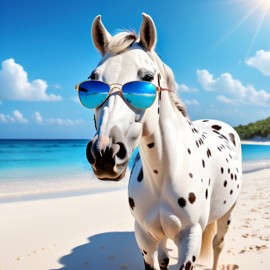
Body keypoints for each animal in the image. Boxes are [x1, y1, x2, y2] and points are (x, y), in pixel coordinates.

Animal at [76, 13, 243, 270]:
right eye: (91, 82)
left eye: (146, 78)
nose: (104, 153)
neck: (164, 173)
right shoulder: (146, 237)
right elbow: (160, 261)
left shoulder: (190, 239)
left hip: (227, 213)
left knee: (218, 244)